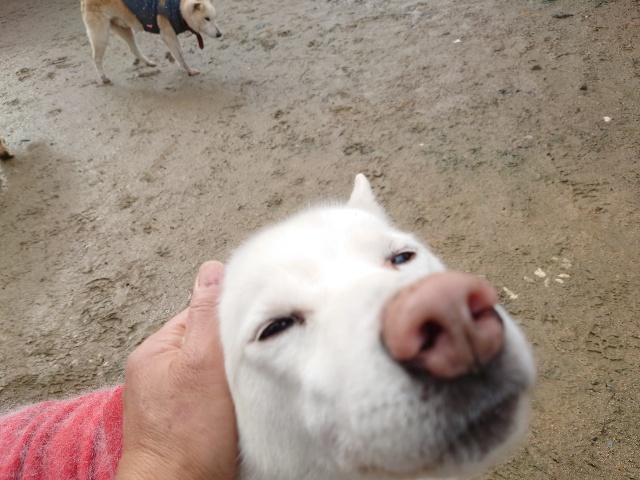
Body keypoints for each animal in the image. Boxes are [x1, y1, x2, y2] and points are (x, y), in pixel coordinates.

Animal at [80, 0, 221, 83]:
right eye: (206, 18)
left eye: (214, 18)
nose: (219, 34)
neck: (178, 8)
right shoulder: (168, 36)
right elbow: (181, 56)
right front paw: (189, 71)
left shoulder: (171, 37)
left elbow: (178, 54)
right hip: (101, 36)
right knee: (96, 58)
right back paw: (103, 77)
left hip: (124, 29)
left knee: (134, 49)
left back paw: (148, 62)